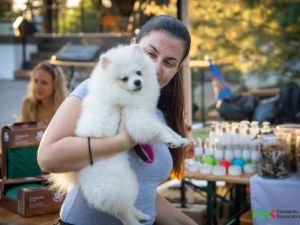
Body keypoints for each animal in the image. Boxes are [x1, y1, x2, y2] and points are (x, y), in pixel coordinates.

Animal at [50, 44, 189, 225]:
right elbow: (157, 129)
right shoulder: (136, 118)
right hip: (119, 184)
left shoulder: (146, 114)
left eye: (139, 73)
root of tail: (78, 174)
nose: (137, 82)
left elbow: (165, 127)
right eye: (124, 78)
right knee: (121, 210)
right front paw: (170, 140)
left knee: (126, 207)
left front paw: (179, 139)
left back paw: (141, 215)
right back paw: (134, 221)